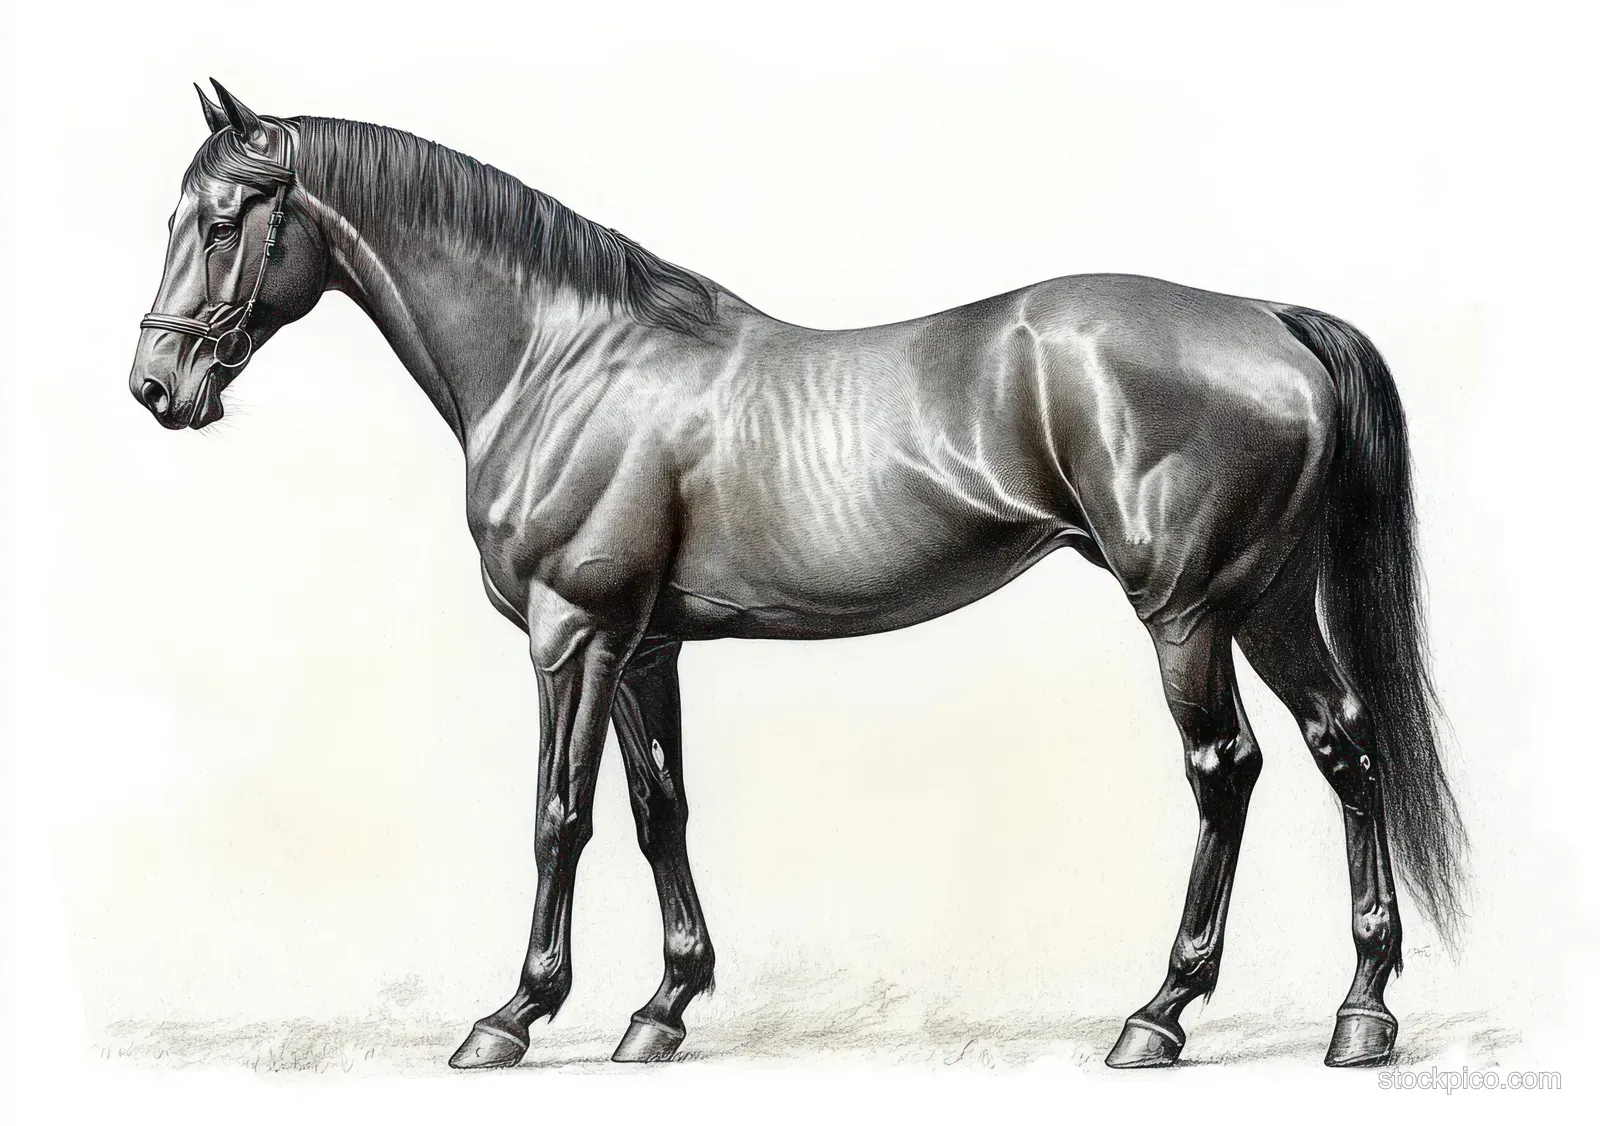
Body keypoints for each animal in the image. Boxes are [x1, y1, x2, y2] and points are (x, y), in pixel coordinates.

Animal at [129, 81, 1466, 1070]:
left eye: (219, 221)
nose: (155, 387)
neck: (561, 359)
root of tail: (1268, 319)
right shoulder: (644, 645)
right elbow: (659, 810)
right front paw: (662, 1008)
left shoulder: (573, 633)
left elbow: (560, 816)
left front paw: (511, 1015)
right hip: (1268, 600)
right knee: (1345, 745)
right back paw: (1362, 1013)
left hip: (1186, 612)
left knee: (1224, 771)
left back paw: (1159, 1014)